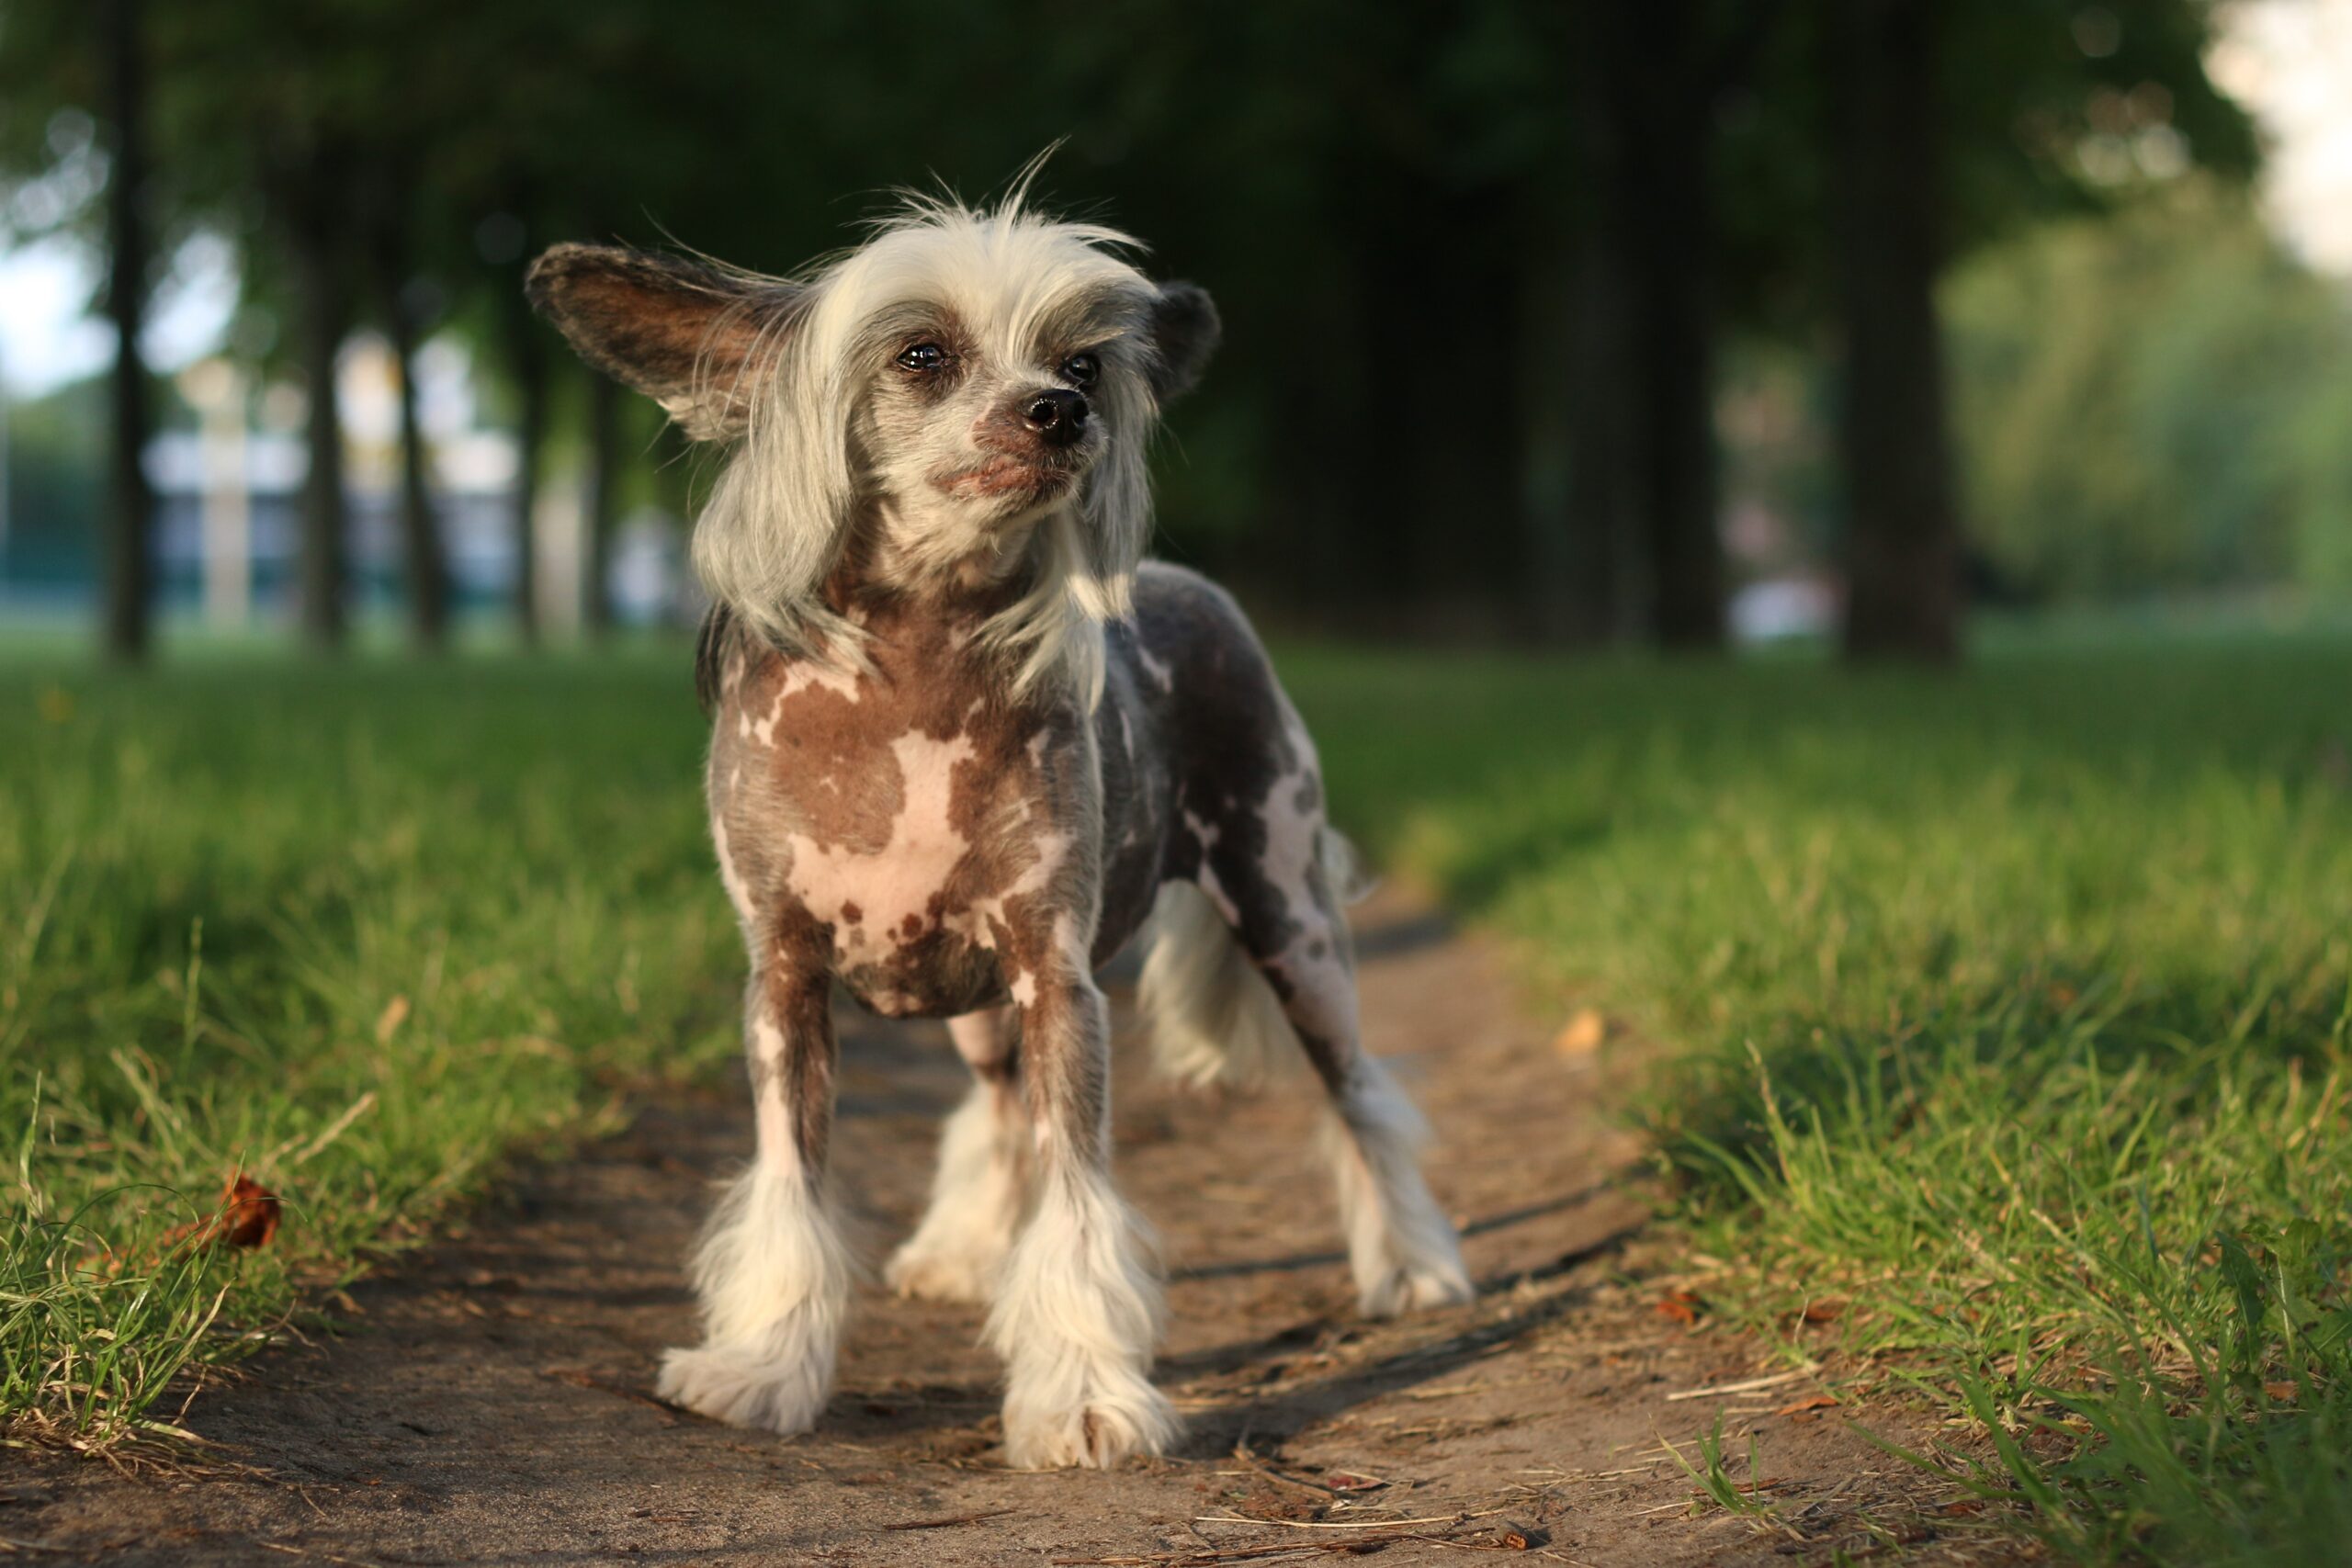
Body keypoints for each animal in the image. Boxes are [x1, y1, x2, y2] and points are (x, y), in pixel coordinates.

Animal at [529, 192, 1467, 1476]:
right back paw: (965, 1249)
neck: (915, 676)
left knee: (1358, 1093)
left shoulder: (1057, 979)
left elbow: (1076, 1203)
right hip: (979, 1002)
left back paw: (1415, 1267)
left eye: (1082, 363)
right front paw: (763, 1366)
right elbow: (790, 1186)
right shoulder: (785, 981)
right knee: (994, 1108)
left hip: (1288, 918)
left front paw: (1082, 1399)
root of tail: (1192, 582)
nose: (1060, 411)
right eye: (923, 354)